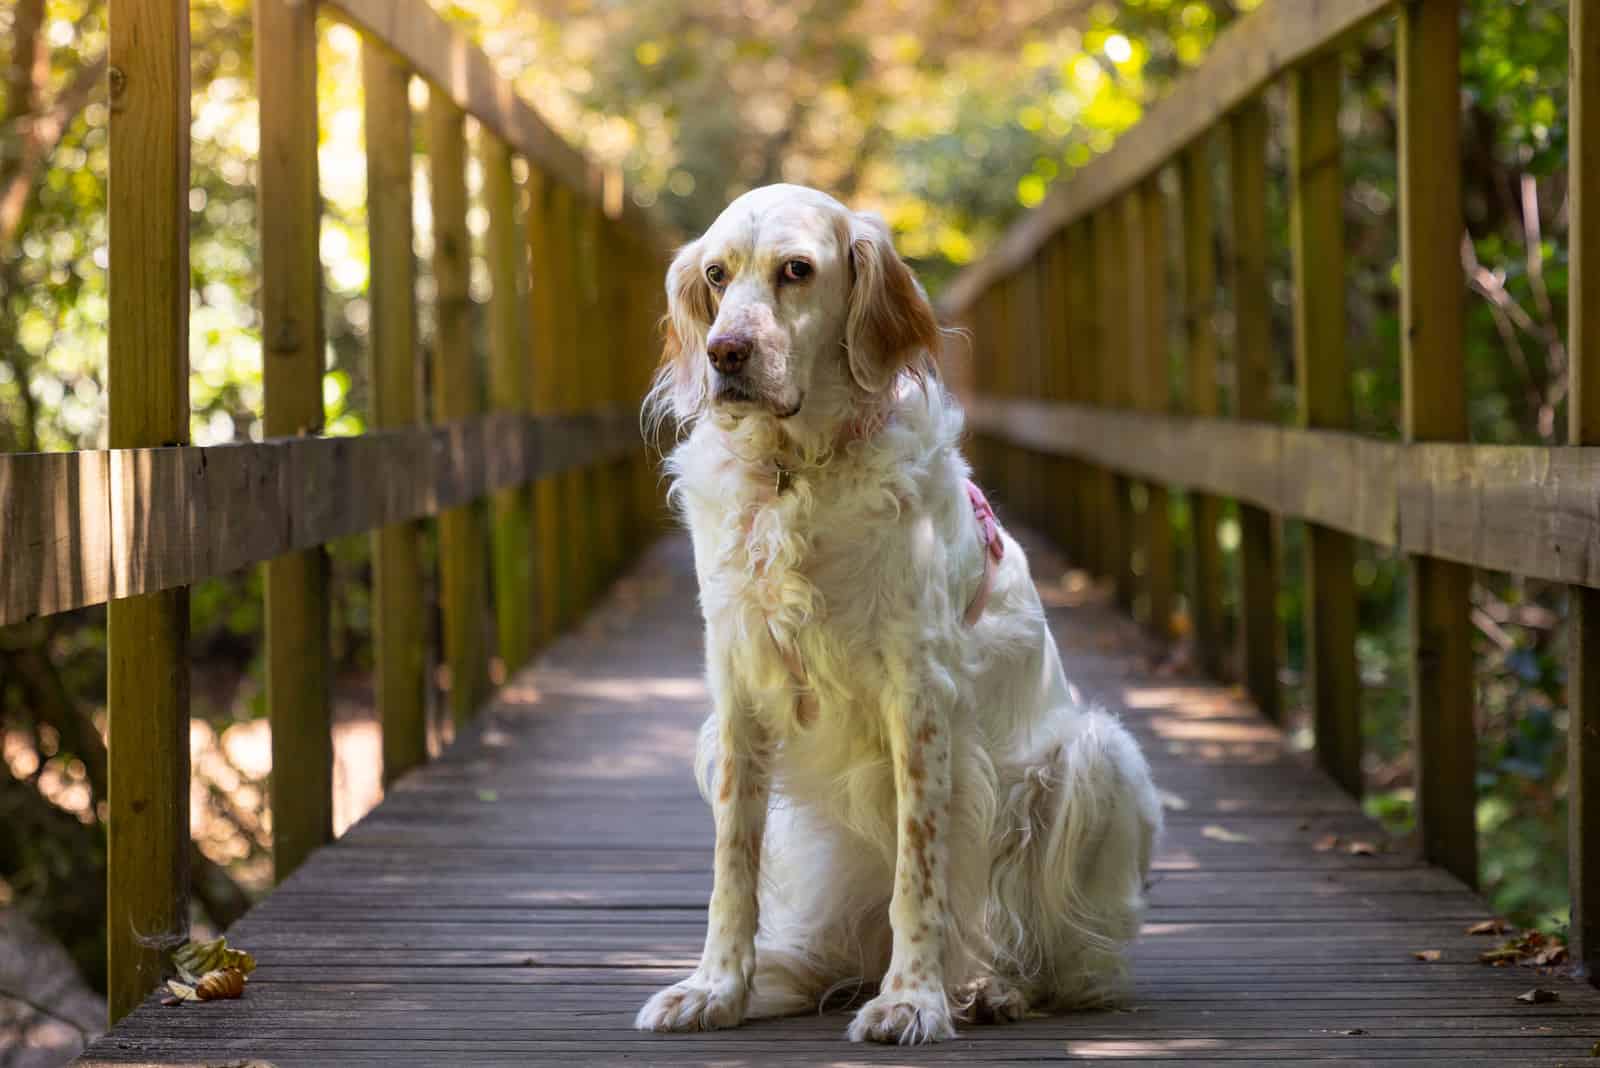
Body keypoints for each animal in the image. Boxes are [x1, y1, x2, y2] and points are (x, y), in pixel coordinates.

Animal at [627, 183, 1164, 1042]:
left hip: (1094, 757)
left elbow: (921, 871)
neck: (797, 471)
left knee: (1068, 962)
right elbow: (731, 867)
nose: (724, 353)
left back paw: (995, 987)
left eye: (796, 270)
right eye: (715, 274)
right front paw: (715, 987)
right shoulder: (739, 694)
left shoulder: (919, 698)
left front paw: (912, 999)